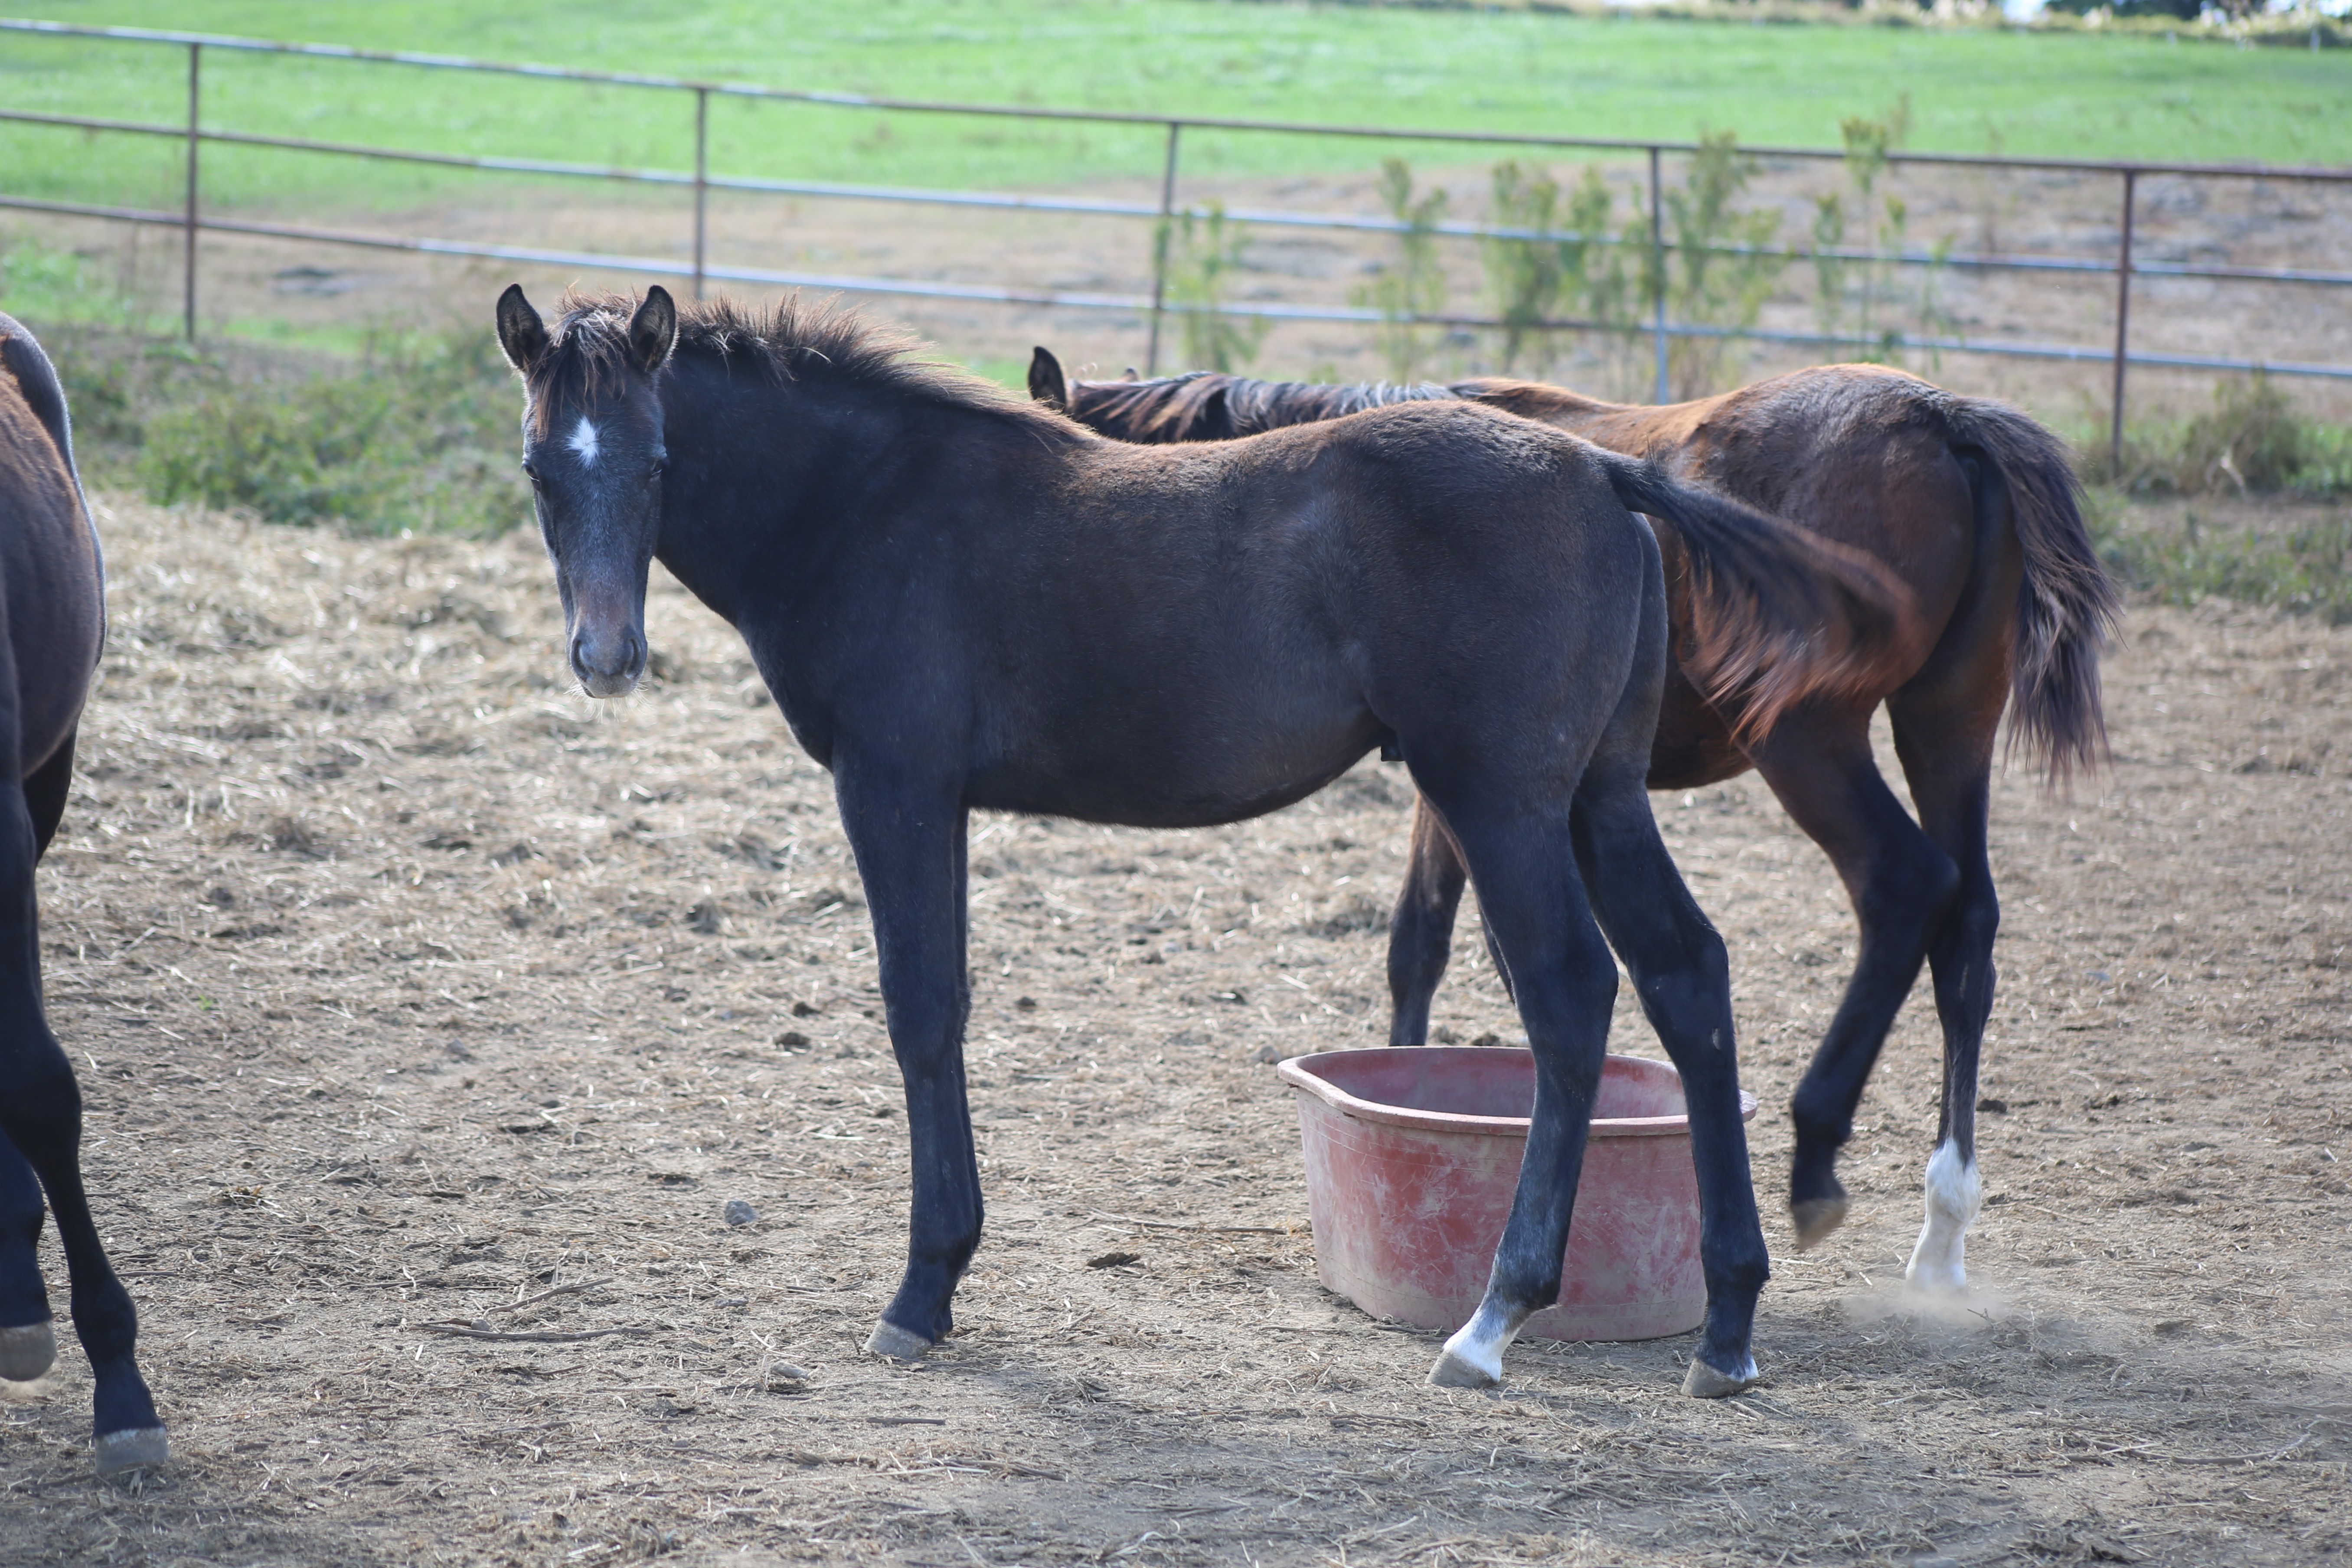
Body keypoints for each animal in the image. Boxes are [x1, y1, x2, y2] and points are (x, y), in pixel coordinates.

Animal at [491, 288, 1910, 1392]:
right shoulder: (928, 797)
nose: (606, 656)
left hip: (1500, 798)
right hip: (1597, 794)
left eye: (656, 464)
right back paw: (1725, 1322)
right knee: (1686, 976)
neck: (870, 503)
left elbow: (921, 1008)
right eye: (540, 473)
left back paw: (1492, 1319)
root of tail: (1600, 471)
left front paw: (922, 1289)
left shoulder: (895, 784)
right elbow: (941, 1005)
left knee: (1570, 994)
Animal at [1039, 350, 2126, 1297]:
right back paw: (1942, 1227)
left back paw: (1817, 1146)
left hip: (1811, 742)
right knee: (1968, 930)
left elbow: (1440, 944)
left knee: (1905, 887)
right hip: (1949, 726)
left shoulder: (1474, 789)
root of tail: (1942, 419)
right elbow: (1429, 943)